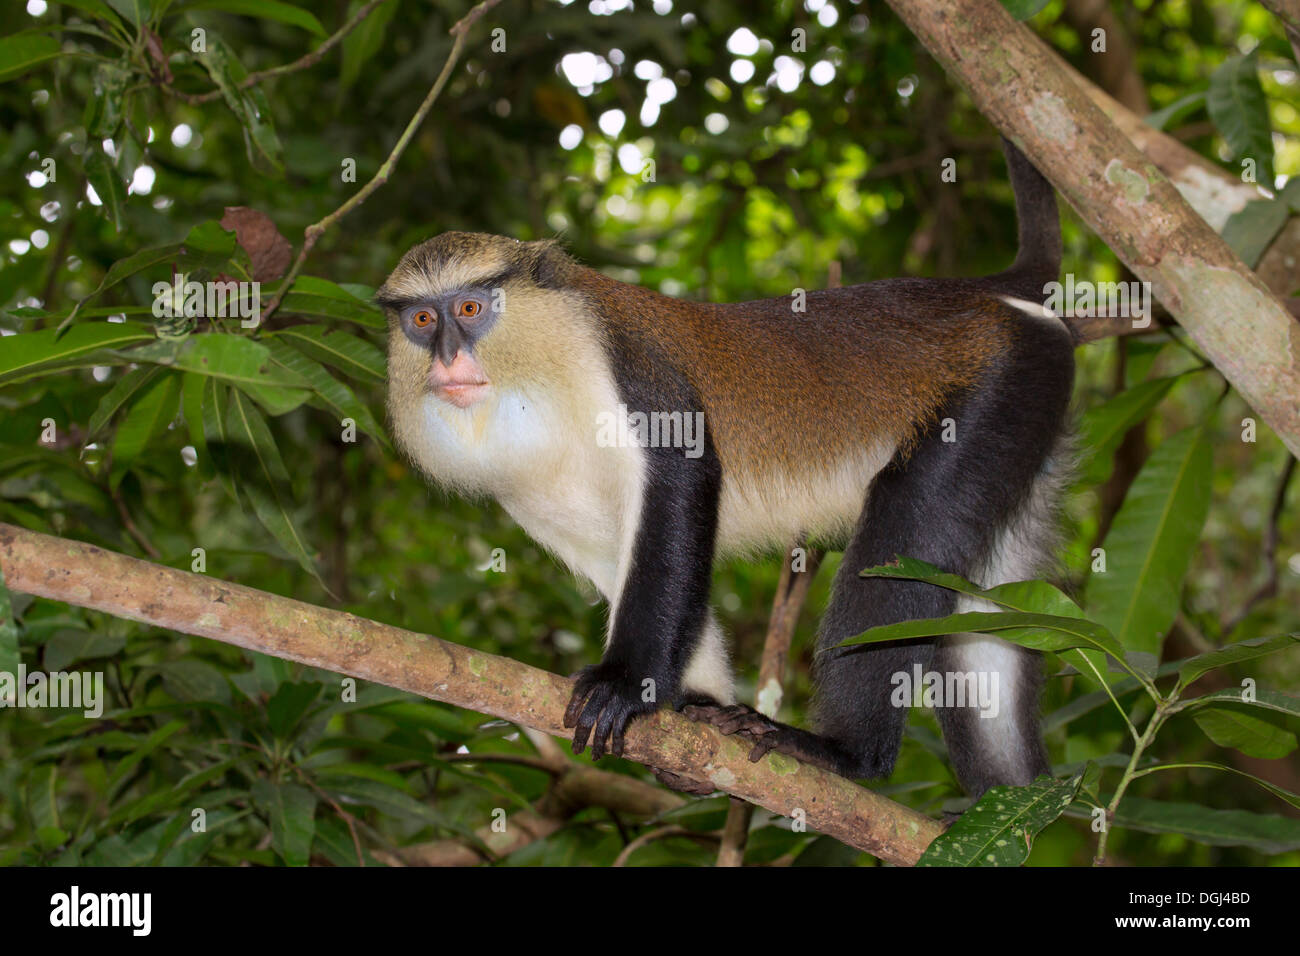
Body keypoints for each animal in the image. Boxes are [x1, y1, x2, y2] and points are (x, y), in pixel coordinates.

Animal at [379, 138, 1076, 796]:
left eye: (471, 309)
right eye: (422, 319)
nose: (447, 358)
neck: (534, 371)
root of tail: (981, 296)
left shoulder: (626, 366)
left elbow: (681, 483)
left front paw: (626, 685)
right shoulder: (528, 492)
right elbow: (616, 558)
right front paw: (689, 712)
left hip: (996, 387)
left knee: (906, 528)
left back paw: (845, 752)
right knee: (986, 622)